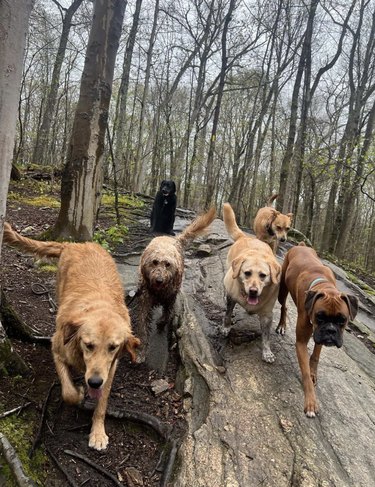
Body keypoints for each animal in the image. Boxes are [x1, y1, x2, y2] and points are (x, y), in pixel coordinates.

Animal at [2, 223, 140, 452]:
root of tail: (76, 244)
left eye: (113, 347)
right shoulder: (57, 349)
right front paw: (80, 393)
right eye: (88, 345)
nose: (94, 382)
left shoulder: (110, 368)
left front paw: (98, 432)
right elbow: (68, 393)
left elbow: (102, 402)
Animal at [137, 208, 217, 360]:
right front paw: (142, 351)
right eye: (154, 262)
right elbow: (143, 326)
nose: (159, 280)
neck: (159, 290)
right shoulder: (145, 300)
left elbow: (167, 314)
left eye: (168, 264)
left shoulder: (170, 298)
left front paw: (161, 323)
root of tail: (173, 239)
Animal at [223, 204, 282, 364]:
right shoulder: (232, 298)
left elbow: (266, 337)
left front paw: (267, 352)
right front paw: (226, 327)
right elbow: (227, 314)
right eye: (247, 273)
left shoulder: (267, 316)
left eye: (263, 276)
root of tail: (245, 236)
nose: (253, 291)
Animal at [278, 242, 360, 418]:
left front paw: (313, 372)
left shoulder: (319, 338)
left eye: (342, 320)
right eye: (319, 317)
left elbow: (315, 356)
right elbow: (305, 374)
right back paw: (281, 325)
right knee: (284, 306)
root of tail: (301, 245)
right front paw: (310, 402)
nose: (330, 330)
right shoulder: (301, 342)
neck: (323, 286)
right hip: (282, 290)